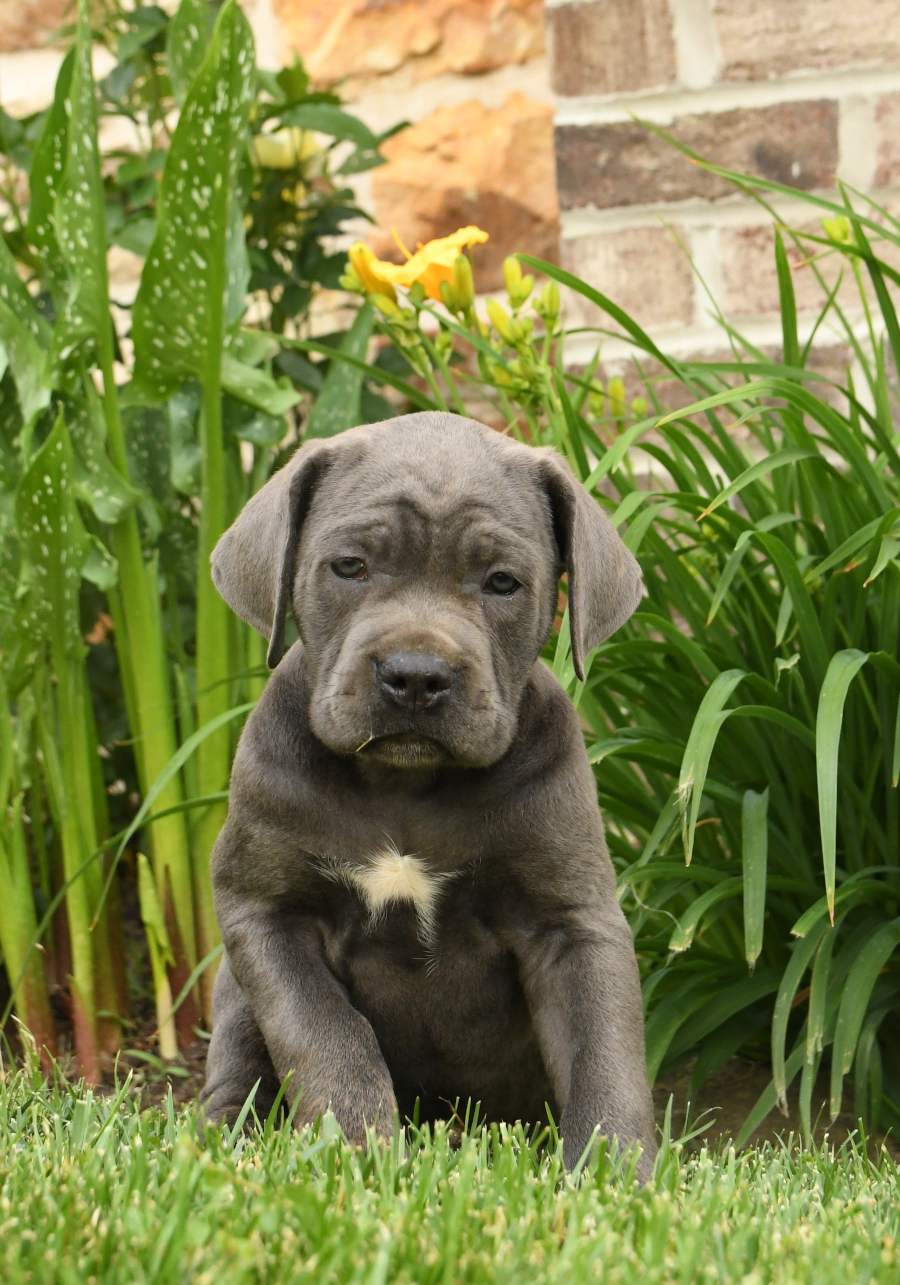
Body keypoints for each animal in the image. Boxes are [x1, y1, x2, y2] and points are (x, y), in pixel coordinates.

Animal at [200, 411, 658, 1177]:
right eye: (349, 566)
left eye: (502, 582)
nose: (416, 675)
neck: (402, 784)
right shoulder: (265, 911)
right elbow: (326, 1034)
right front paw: (359, 1148)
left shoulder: (572, 920)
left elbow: (605, 1052)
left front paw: (615, 1175)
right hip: (235, 991)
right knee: (237, 1065)